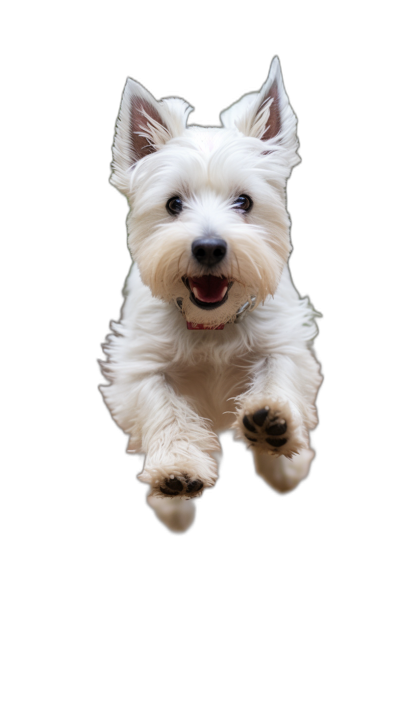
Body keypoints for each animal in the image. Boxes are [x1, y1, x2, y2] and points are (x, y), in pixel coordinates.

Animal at [101, 58, 324, 532]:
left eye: (244, 201)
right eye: (173, 204)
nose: (208, 248)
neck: (211, 323)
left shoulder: (284, 339)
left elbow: (280, 372)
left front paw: (273, 421)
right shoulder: (139, 364)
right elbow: (161, 405)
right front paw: (176, 472)